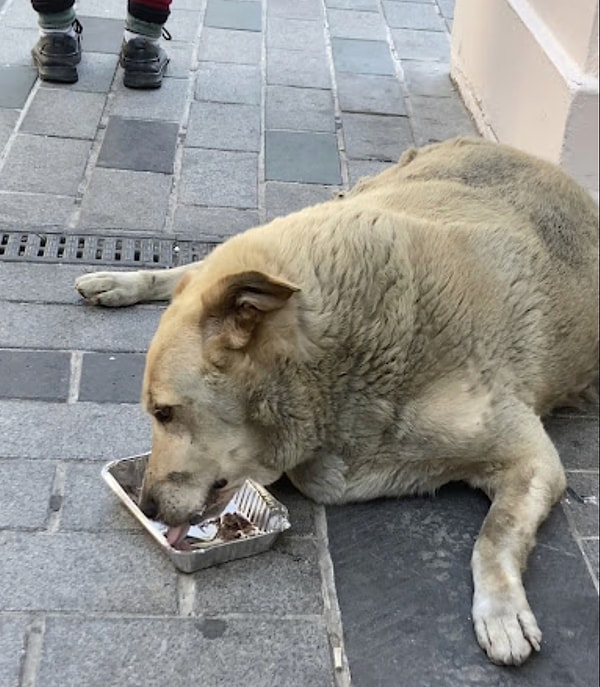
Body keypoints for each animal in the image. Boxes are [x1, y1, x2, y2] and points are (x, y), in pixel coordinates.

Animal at [76, 137, 600, 668]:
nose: (147, 505)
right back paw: (120, 281)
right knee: (199, 266)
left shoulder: (531, 457)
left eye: (163, 413)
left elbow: (494, 535)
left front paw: (501, 609)